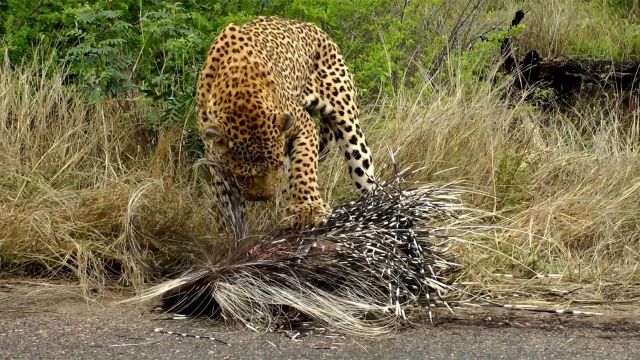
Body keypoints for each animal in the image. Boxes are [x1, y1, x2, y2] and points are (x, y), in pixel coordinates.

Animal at [195, 16, 376, 231]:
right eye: (242, 175)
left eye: (276, 165)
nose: (262, 198)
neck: (240, 92)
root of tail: (312, 26)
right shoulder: (217, 164)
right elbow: (229, 212)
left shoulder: (303, 125)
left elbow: (305, 166)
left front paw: (310, 208)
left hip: (348, 123)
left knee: (363, 171)